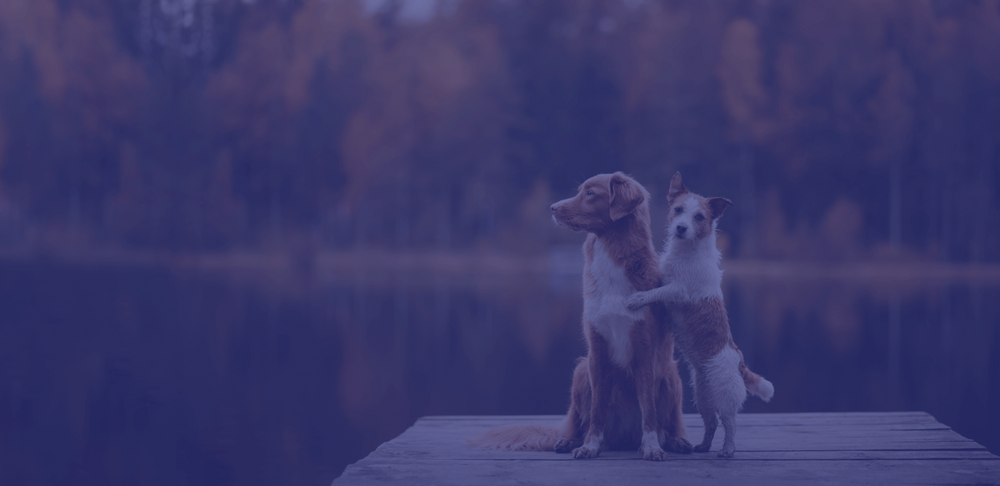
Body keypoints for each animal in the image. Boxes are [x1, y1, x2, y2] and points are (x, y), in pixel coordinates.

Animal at [466, 173, 688, 462]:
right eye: (580, 190)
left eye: (590, 193)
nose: (552, 208)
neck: (611, 254)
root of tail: (625, 437)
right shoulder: (597, 348)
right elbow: (597, 410)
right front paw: (590, 446)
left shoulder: (645, 348)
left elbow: (648, 407)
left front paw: (651, 447)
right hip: (581, 371)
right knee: (578, 422)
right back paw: (569, 441)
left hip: (671, 374)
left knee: (671, 424)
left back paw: (675, 442)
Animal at [624, 173, 772, 458]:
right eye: (678, 210)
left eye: (699, 217)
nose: (681, 228)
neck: (686, 251)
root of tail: (739, 362)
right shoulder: (665, 275)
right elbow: (657, 281)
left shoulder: (679, 289)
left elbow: (657, 291)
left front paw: (638, 298)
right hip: (703, 395)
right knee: (711, 422)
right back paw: (703, 445)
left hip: (724, 394)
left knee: (730, 422)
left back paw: (727, 449)